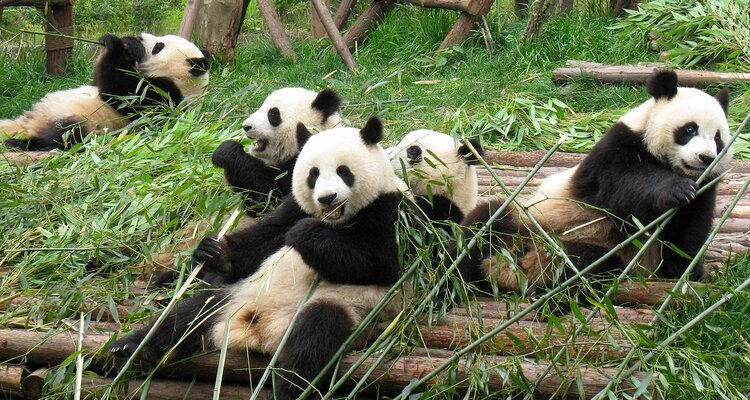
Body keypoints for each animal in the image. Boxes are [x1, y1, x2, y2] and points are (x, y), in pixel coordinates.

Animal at [1, 33, 209, 151]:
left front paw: (118, 43)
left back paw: (19, 143)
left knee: (63, 136)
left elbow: (121, 92)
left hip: (85, 122)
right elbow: (100, 80)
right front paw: (128, 42)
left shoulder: (165, 98)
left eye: (159, 46)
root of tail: (31, 124)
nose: (140, 36)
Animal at [110, 116, 405, 400]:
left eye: (344, 172)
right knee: (190, 314)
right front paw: (214, 252)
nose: (327, 198)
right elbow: (263, 239)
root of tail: (260, 332)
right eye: (313, 174)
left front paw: (305, 234)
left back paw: (288, 389)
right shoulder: (293, 207)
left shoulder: (391, 212)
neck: (335, 220)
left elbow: (376, 261)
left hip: (343, 307)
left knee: (314, 339)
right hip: (236, 297)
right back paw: (130, 346)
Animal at [455, 70, 731, 310]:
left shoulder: (706, 187)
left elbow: (687, 235)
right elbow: (625, 185)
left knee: (588, 268)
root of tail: (516, 268)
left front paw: (688, 271)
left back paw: (549, 295)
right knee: (481, 229)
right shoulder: (614, 151)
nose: (706, 158)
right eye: (690, 129)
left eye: (718, 137)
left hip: (596, 252)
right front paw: (676, 189)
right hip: (527, 221)